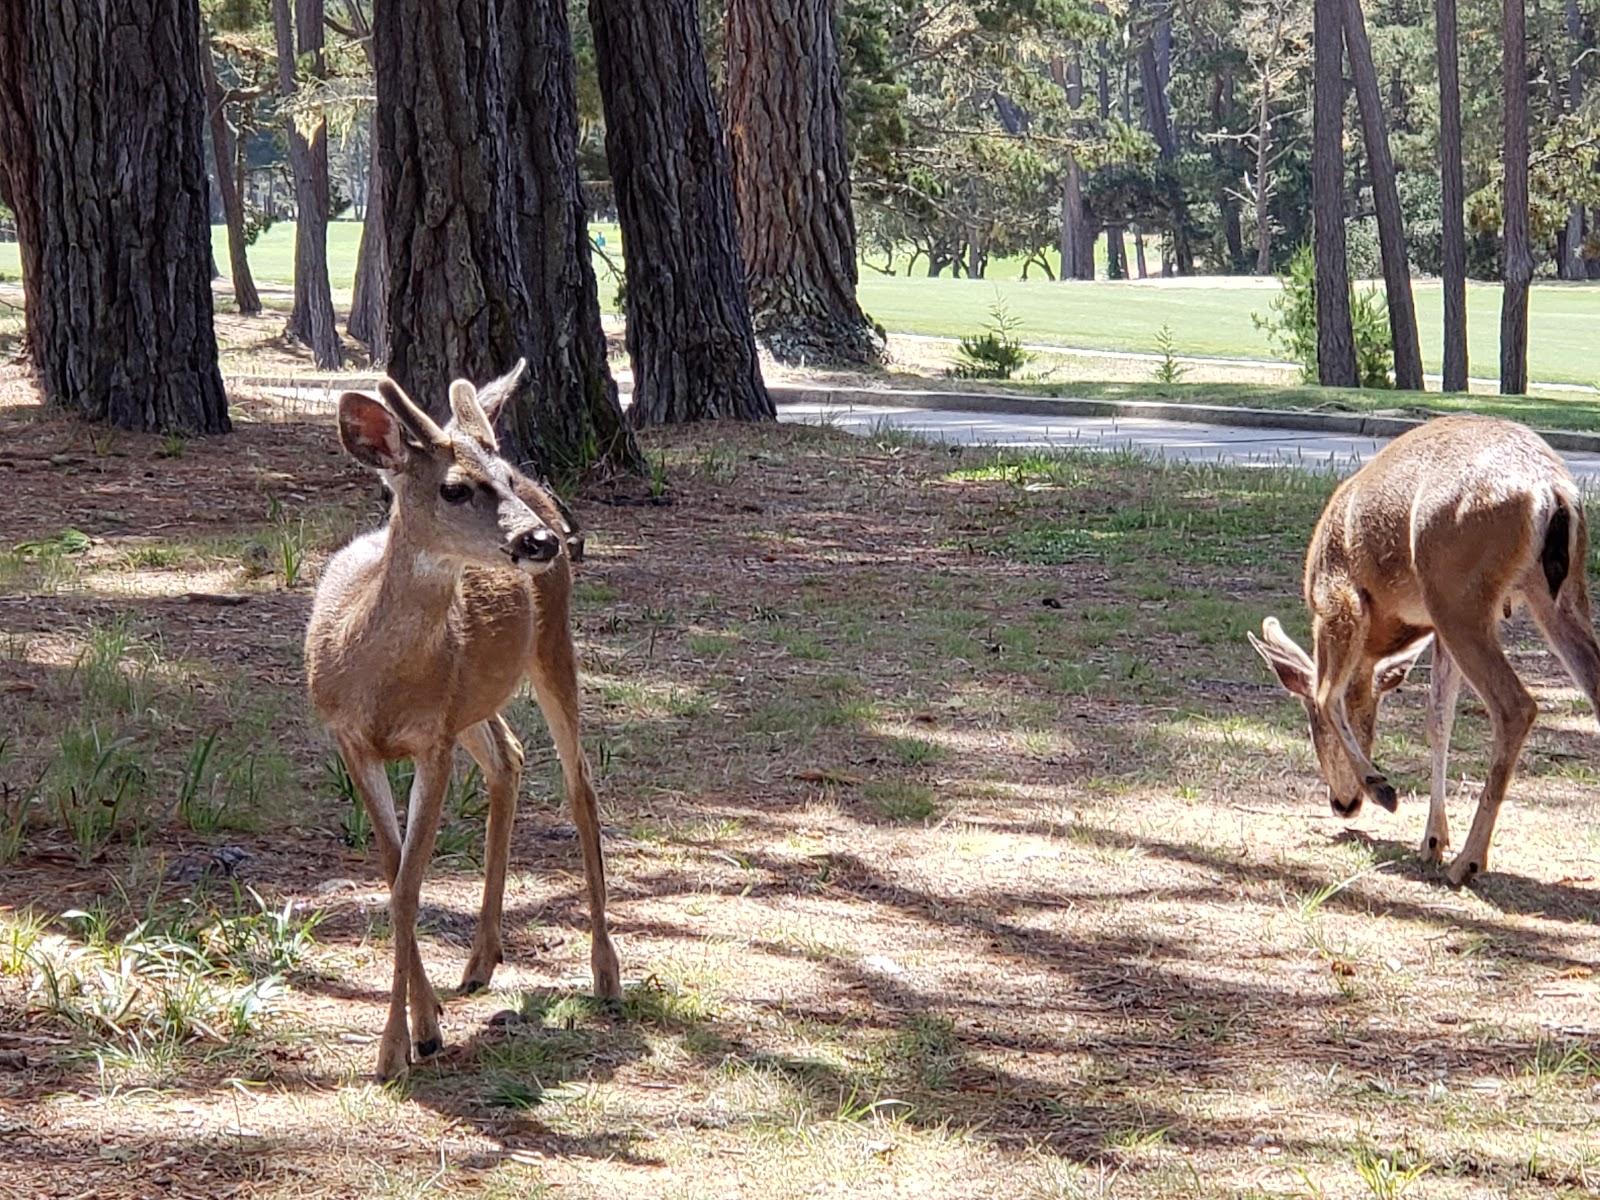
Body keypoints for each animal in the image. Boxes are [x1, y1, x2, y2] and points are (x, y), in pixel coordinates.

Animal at [304, 360, 617, 1081]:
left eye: (498, 478)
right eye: (454, 488)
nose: (542, 540)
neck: (376, 679)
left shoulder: (433, 742)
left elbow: (408, 886)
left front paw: (398, 1048)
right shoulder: (353, 740)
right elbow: (394, 876)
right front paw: (426, 1024)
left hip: (550, 644)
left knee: (579, 782)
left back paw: (605, 974)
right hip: (476, 698)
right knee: (510, 757)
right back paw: (479, 961)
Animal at [1248, 419, 1600, 889]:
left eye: (1310, 725)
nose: (1342, 804)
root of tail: (1550, 489)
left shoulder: (1339, 599)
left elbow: (1326, 693)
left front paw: (1382, 788)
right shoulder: (1432, 631)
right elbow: (1438, 720)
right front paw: (1432, 840)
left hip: (1456, 595)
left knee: (1516, 705)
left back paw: (1468, 861)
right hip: (1554, 594)